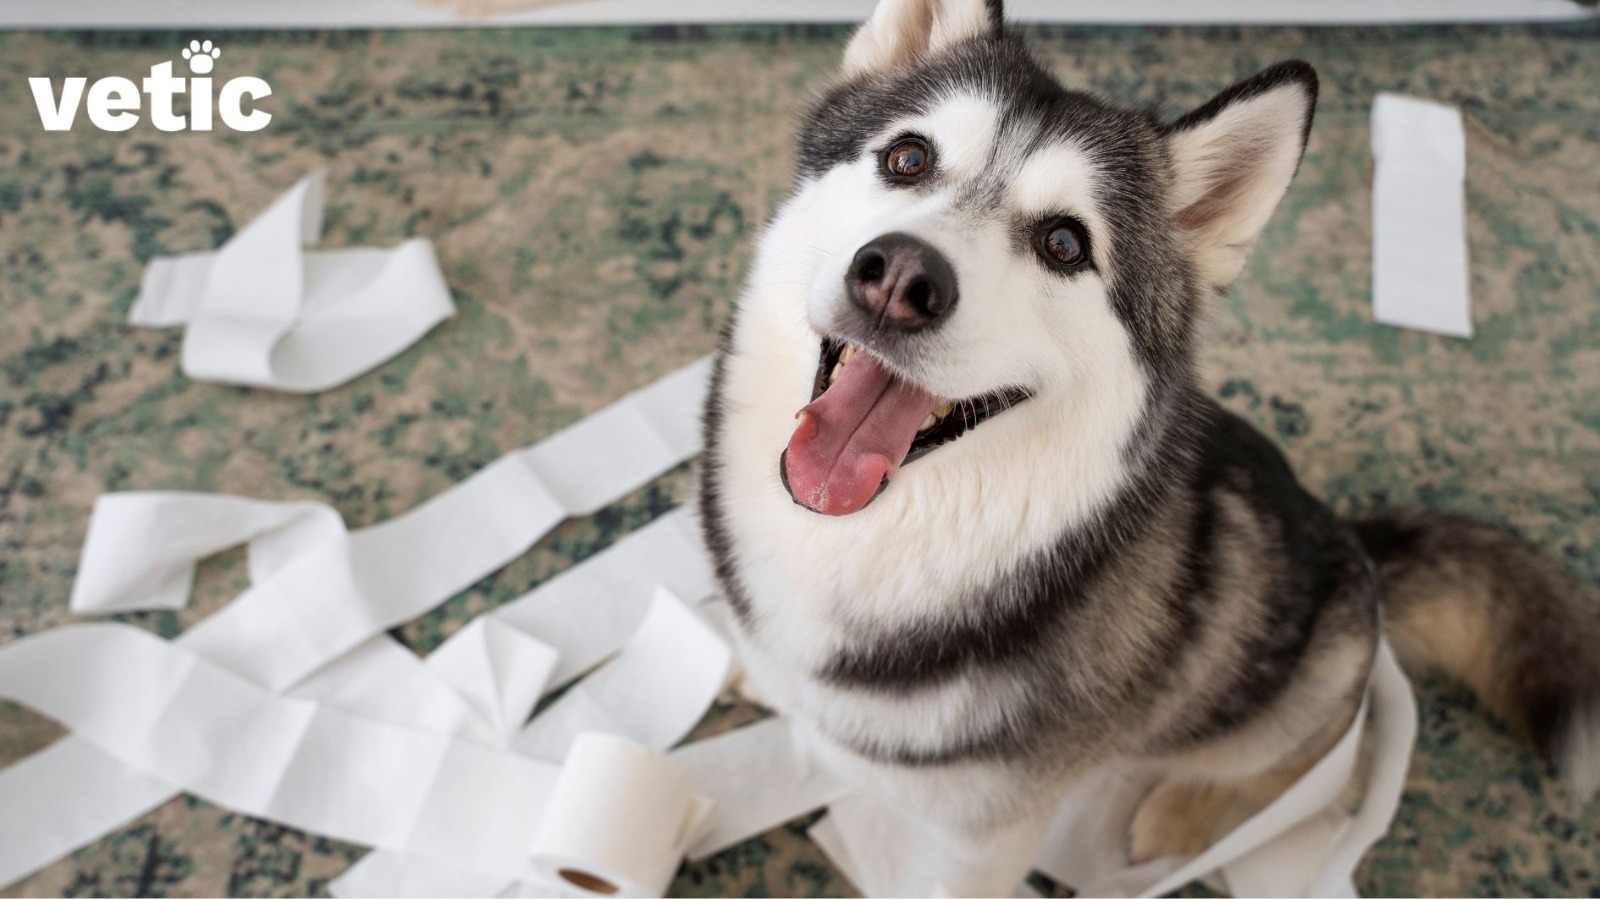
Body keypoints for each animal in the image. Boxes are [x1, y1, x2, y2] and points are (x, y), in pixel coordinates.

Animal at [700, 0, 1600, 883]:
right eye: (909, 158)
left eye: (1065, 244)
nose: (898, 277)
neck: (877, 540)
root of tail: (1355, 541)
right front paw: (753, 666)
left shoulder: (980, 836)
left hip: (1303, 689)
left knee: (1324, 766)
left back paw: (1186, 809)